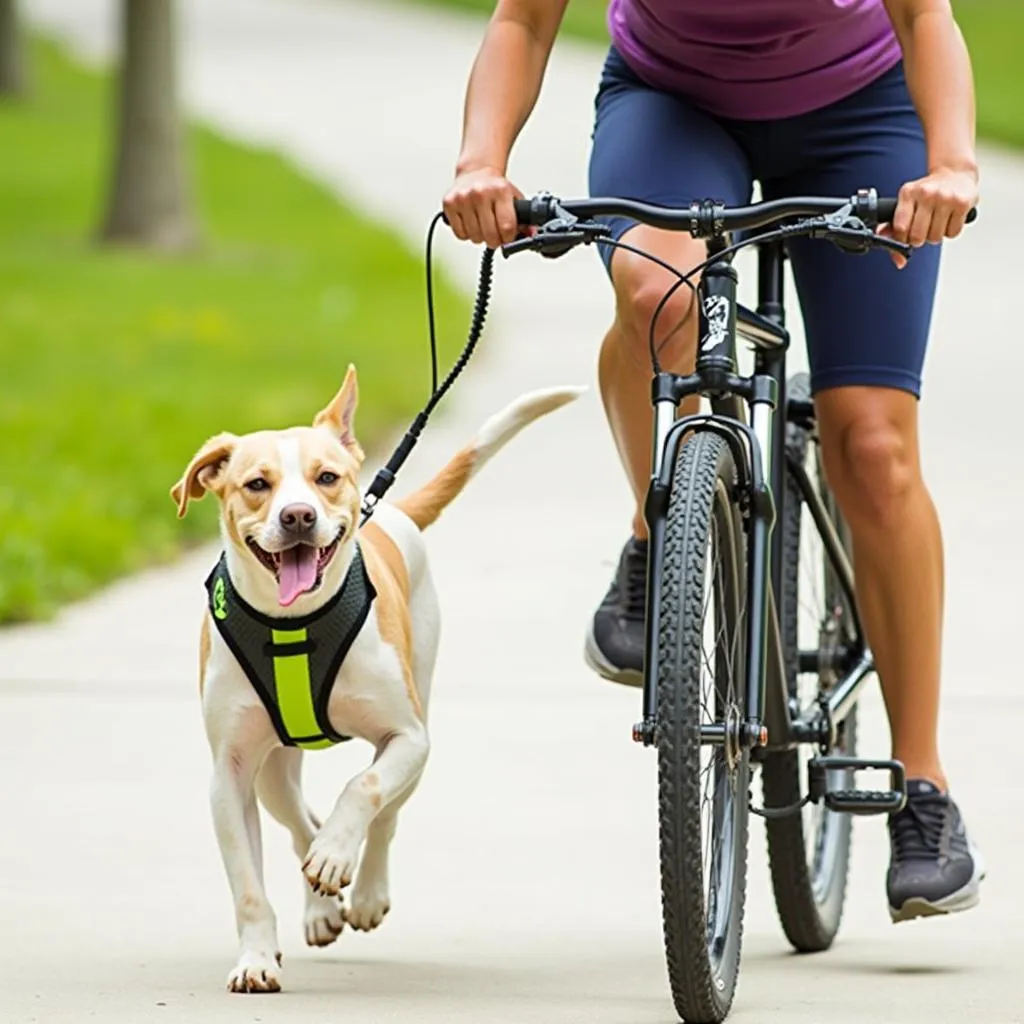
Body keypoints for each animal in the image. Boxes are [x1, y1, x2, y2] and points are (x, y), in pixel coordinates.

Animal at [172, 366, 581, 991]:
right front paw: (256, 959)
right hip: (272, 770)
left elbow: (362, 787)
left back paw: (361, 889)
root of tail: (390, 512)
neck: (294, 624)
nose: (298, 516)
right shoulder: (230, 774)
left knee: (385, 815)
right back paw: (320, 902)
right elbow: (248, 887)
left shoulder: (407, 737)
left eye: (326, 477)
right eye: (257, 484)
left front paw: (340, 857)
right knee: (300, 820)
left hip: (418, 717)